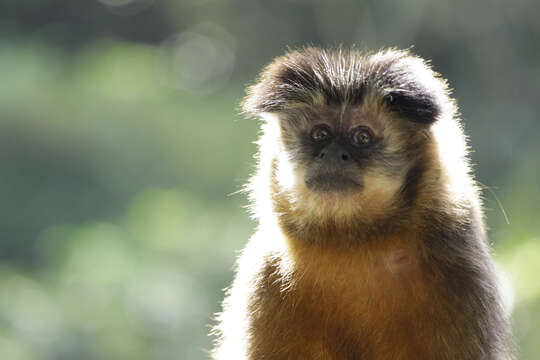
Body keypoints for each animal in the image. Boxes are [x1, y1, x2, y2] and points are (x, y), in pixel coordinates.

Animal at [209, 47, 512, 360]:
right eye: (320, 134)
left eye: (362, 137)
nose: (333, 153)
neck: (354, 240)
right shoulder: (265, 270)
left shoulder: (457, 262)